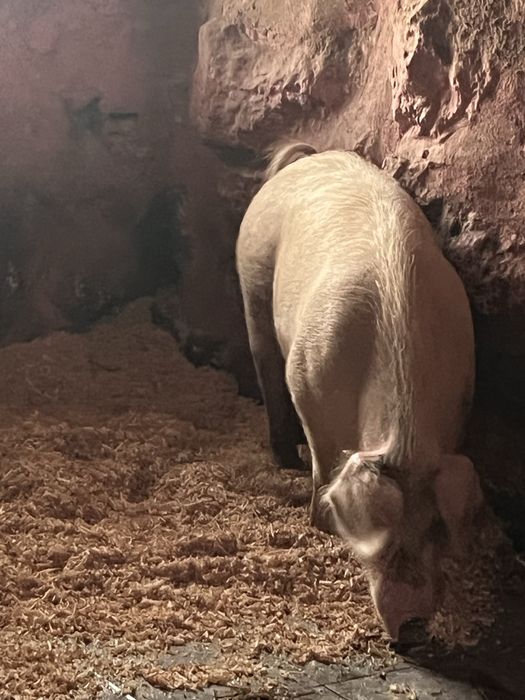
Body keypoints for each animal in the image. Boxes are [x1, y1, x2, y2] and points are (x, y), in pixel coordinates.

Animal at [236, 142, 483, 639]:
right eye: (378, 535)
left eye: (436, 531)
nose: (412, 626)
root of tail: (306, 158)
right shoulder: (305, 379)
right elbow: (324, 459)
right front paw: (321, 520)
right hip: (251, 272)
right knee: (264, 363)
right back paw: (285, 458)